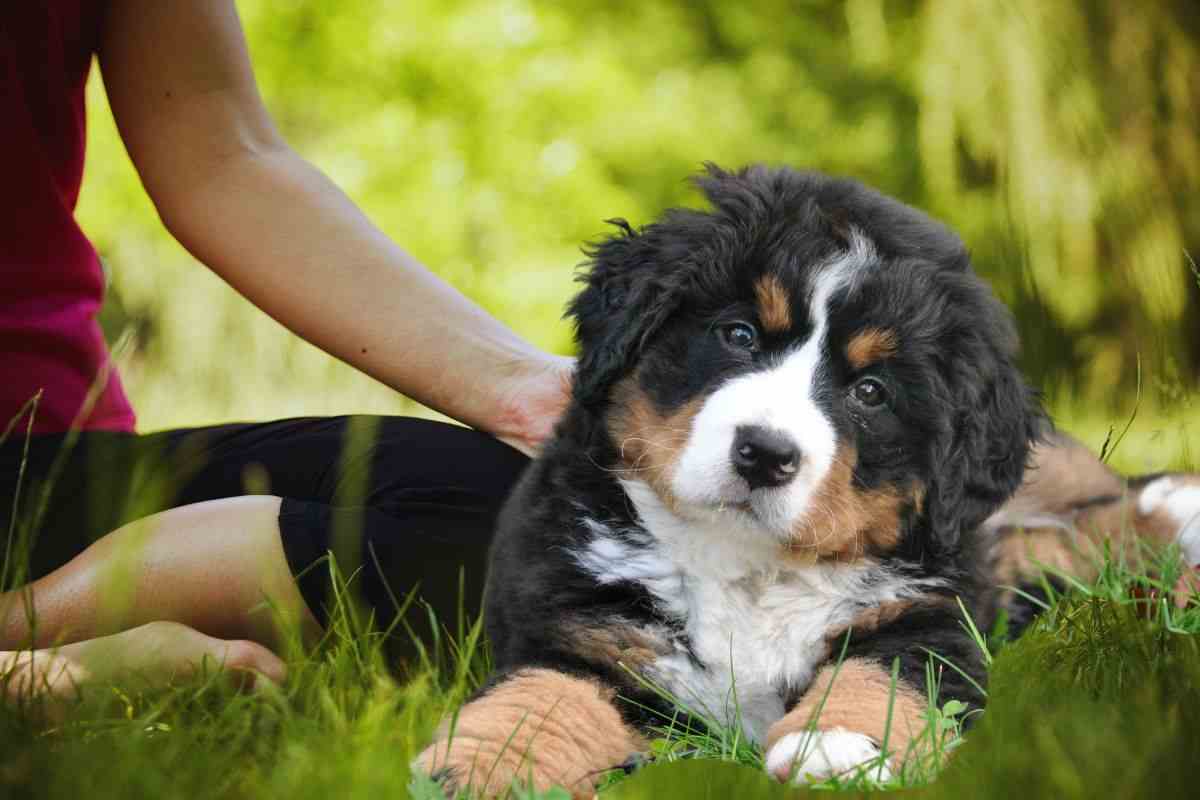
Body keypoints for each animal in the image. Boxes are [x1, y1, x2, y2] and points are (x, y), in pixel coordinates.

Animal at [415, 164, 1200, 796]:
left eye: (872, 392)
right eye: (738, 335)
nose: (764, 453)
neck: (748, 567)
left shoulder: (929, 617)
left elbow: (879, 677)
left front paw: (837, 746)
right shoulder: (581, 625)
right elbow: (539, 702)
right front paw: (474, 767)